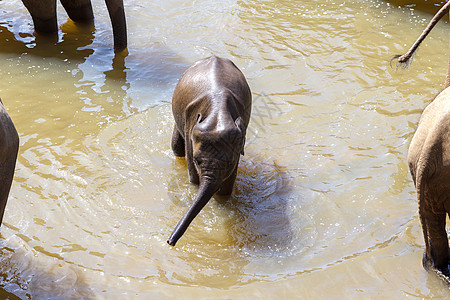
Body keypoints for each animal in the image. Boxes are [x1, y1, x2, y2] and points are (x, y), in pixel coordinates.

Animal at [169, 56, 253, 246]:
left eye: (229, 162)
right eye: (196, 161)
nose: (170, 242)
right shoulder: (190, 130)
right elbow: (193, 175)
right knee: (176, 148)